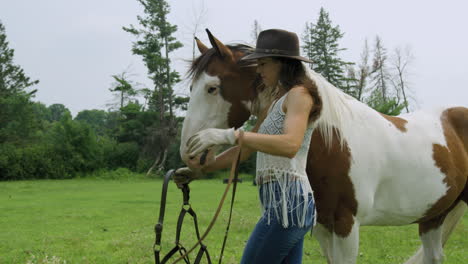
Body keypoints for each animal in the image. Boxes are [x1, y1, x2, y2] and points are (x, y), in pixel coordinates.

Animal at [179, 29, 468, 262]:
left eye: (212, 88)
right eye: (193, 87)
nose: (188, 153)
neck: (335, 145)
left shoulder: (347, 227)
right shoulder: (321, 226)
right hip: (432, 217)